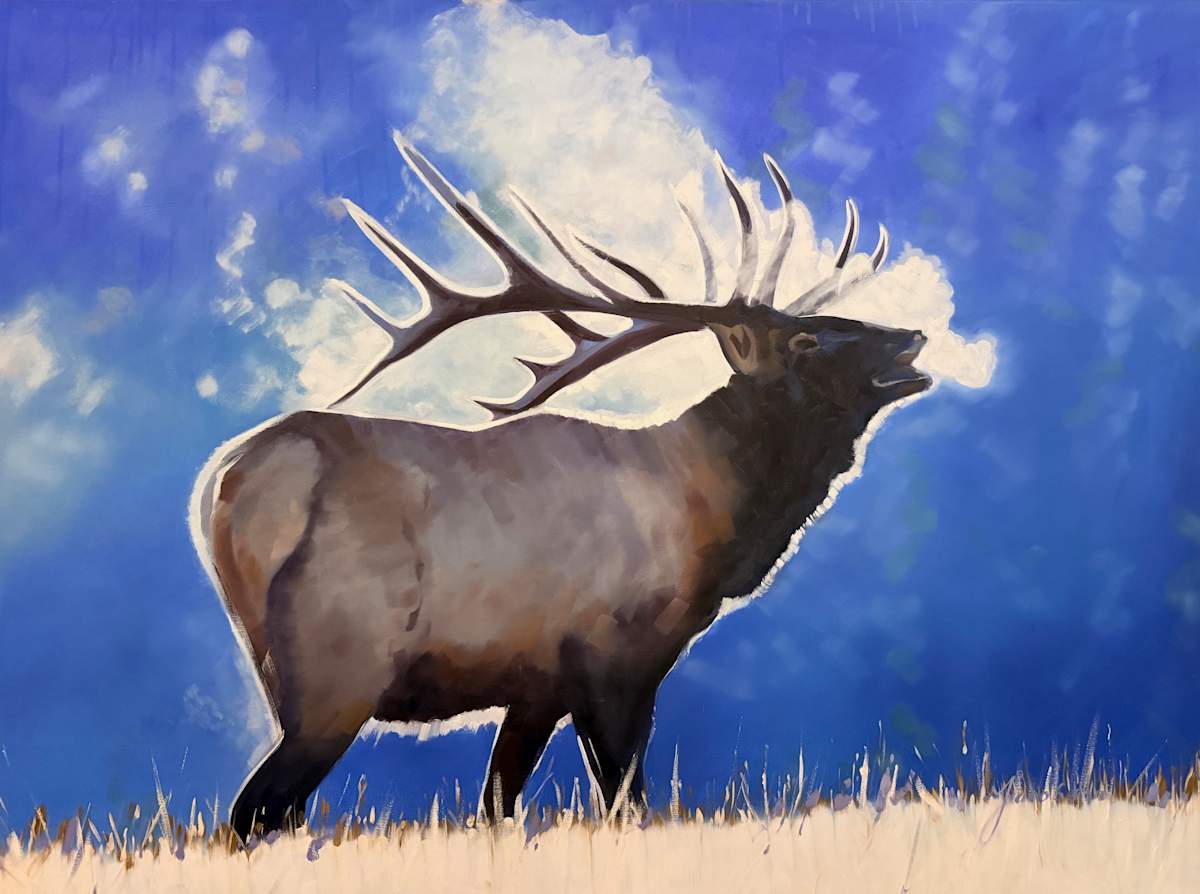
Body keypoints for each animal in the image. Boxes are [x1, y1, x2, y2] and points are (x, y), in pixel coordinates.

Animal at [189, 133, 932, 840]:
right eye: (806, 341)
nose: (913, 337)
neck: (712, 525)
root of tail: (230, 481)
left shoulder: (539, 684)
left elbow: (497, 805)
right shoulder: (616, 654)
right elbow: (625, 800)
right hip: (339, 666)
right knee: (255, 811)